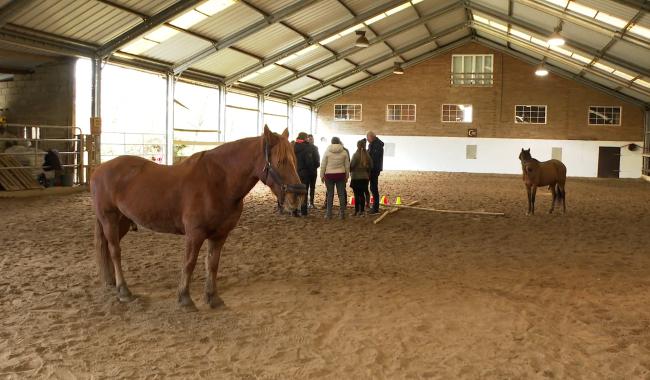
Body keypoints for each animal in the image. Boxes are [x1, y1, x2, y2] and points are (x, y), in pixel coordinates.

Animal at [91, 126, 306, 310]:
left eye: (295, 160)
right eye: (280, 161)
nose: (297, 196)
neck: (218, 182)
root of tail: (99, 169)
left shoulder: (220, 235)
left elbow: (212, 264)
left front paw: (213, 297)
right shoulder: (195, 234)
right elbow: (189, 263)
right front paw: (185, 298)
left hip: (122, 221)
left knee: (108, 249)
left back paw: (111, 282)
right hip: (109, 219)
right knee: (115, 251)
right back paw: (123, 291)